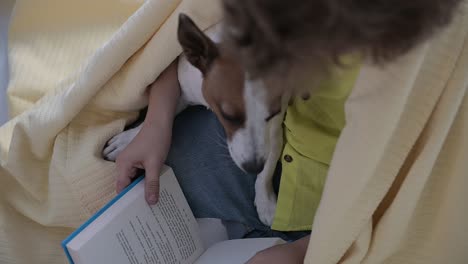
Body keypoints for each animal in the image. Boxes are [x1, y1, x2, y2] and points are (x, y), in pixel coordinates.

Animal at [103, 13, 288, 225]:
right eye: (228, 116)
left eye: (272, 113)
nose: (253, 167)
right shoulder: (183, 93)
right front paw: (127, 140)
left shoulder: (274, 131)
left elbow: (268, 167)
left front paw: (265, 200)